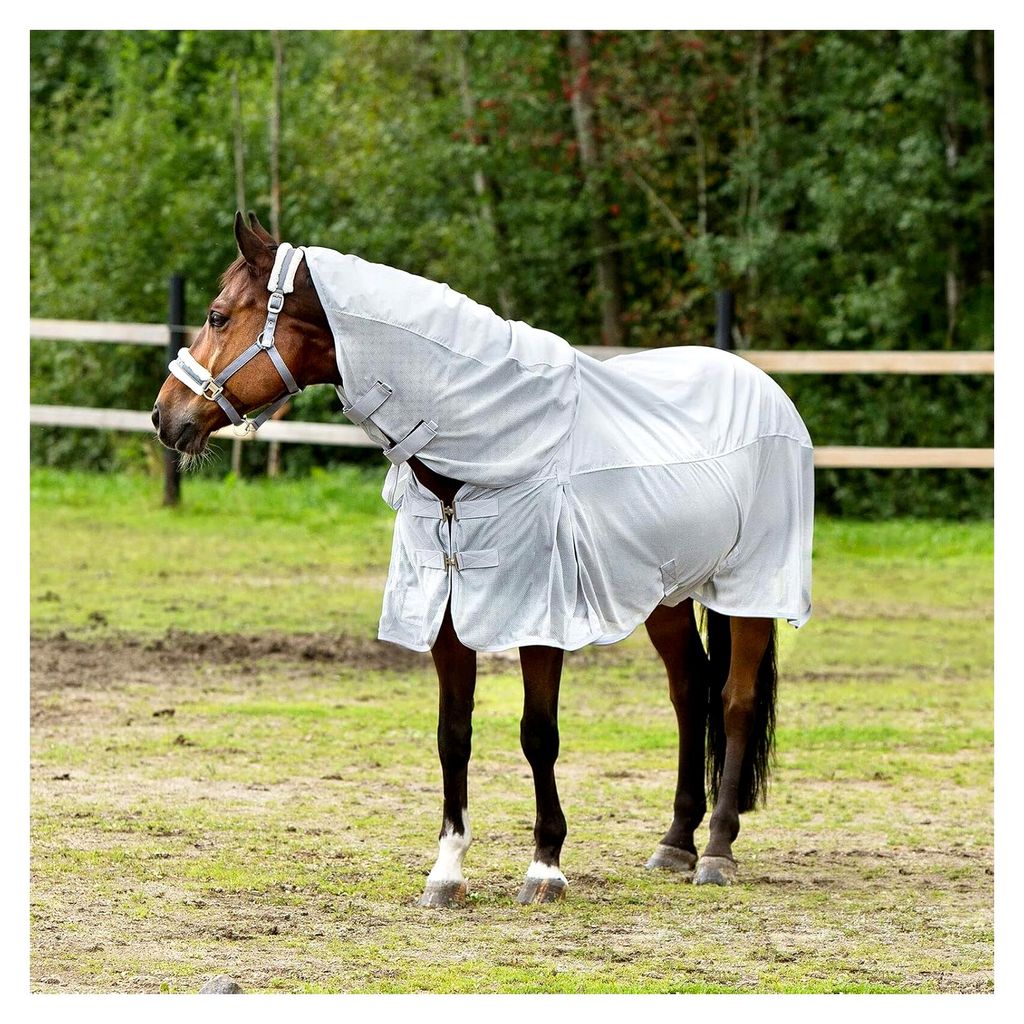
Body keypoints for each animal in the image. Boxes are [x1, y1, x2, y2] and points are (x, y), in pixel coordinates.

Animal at [153, 212, 813, 907]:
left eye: (218, 316)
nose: (164, 416)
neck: (486, 450)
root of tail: (763, 383)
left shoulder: (539, 619)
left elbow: (538, 733)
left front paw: (545, 867)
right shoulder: (446, 618)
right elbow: (454, 735)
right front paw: (446, 870)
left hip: (751, 588)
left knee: (734, 701)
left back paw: (717, 850)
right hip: (666, 592)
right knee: (690, 693)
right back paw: (675, 843)